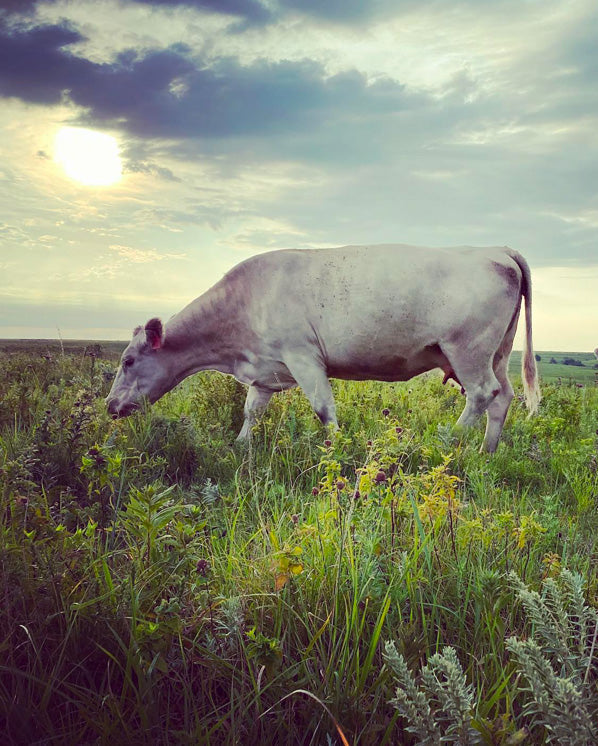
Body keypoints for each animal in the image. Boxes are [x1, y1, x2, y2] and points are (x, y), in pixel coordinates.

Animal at [106, 247, 544, 450]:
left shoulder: (304, 357)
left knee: (482, 395)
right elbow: (251, 412)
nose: (109, 405)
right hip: (497, 353)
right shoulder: (265, 370)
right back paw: (485, 452)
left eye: (128, 360)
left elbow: (323, 409)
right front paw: (240, 447)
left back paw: (448, 440)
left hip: (467, 350)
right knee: (503, 398)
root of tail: (495, 250)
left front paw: (337, 449)